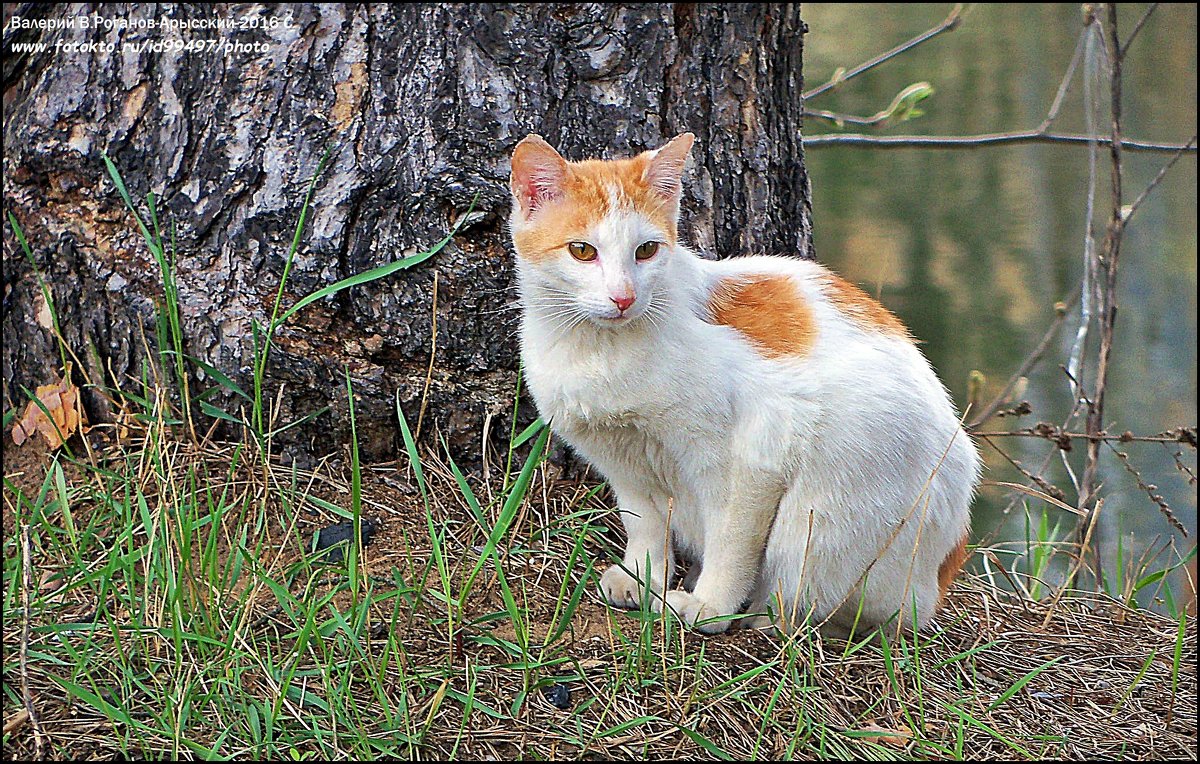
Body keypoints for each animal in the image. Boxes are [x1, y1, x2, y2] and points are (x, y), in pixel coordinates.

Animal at [506, 132, 984, 638]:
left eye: (646, 251)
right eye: (582, 251)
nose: (623, 298)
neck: (598, 351)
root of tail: (938, 580)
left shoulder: (754, 454)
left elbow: (731, 542)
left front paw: (710, 607)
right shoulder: (624, 464)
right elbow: (645, 524)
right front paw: (641, 577)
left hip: (815, 519)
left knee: (801, 609)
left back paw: (749, 611)